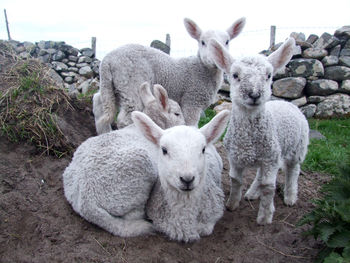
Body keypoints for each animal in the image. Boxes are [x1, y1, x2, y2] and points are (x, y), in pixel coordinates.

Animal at [94, 16, 245, 133]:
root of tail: (107, 60)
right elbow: (191, 124)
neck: (202, 69)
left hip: (113, 85)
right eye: (202, 42)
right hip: (130, 83)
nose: (214, 57)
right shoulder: (192, 100)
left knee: (99, 103)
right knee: (125, 118)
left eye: (227, 42)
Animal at [208, 38, 308, 226]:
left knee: (293, 170)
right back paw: (252, 193)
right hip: (270, 154)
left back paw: (290, 196)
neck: (248, 139)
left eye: (268, 75)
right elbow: (235, 180)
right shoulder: (236, 157)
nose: (254, 95)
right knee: (261, 175)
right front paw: (232, 204)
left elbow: (269, 188)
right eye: (235, 75)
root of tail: (286, 102)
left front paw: (265, 217)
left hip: (297, 147)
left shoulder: (270, 159)